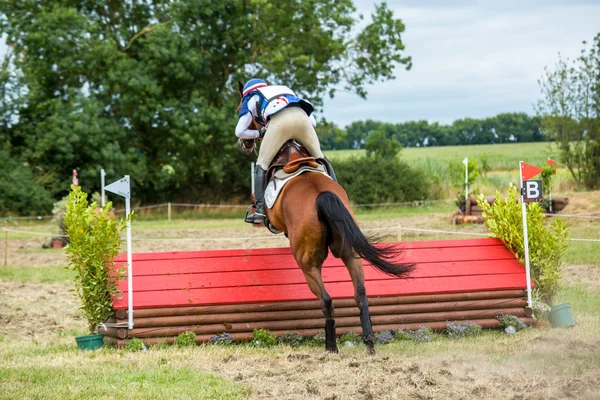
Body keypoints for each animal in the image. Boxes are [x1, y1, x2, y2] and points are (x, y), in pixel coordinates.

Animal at [237, 83, 414, 354]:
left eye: (239, 107)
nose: (243, 144)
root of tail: (322, 196)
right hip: (351, 252)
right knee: (360, 294)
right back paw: (369, 342)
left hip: (307, 262)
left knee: (326, 299)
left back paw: (331, 346)